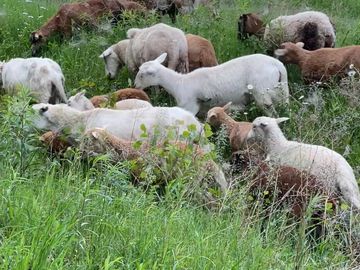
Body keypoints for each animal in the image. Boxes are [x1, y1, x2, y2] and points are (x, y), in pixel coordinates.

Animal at [135, 52, 290, 116]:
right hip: (280, 89)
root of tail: (278, 65)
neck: (179, 83)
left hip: (262, 91)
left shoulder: (190, 106)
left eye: (142, 74)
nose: (135, 86)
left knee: (271, 111)